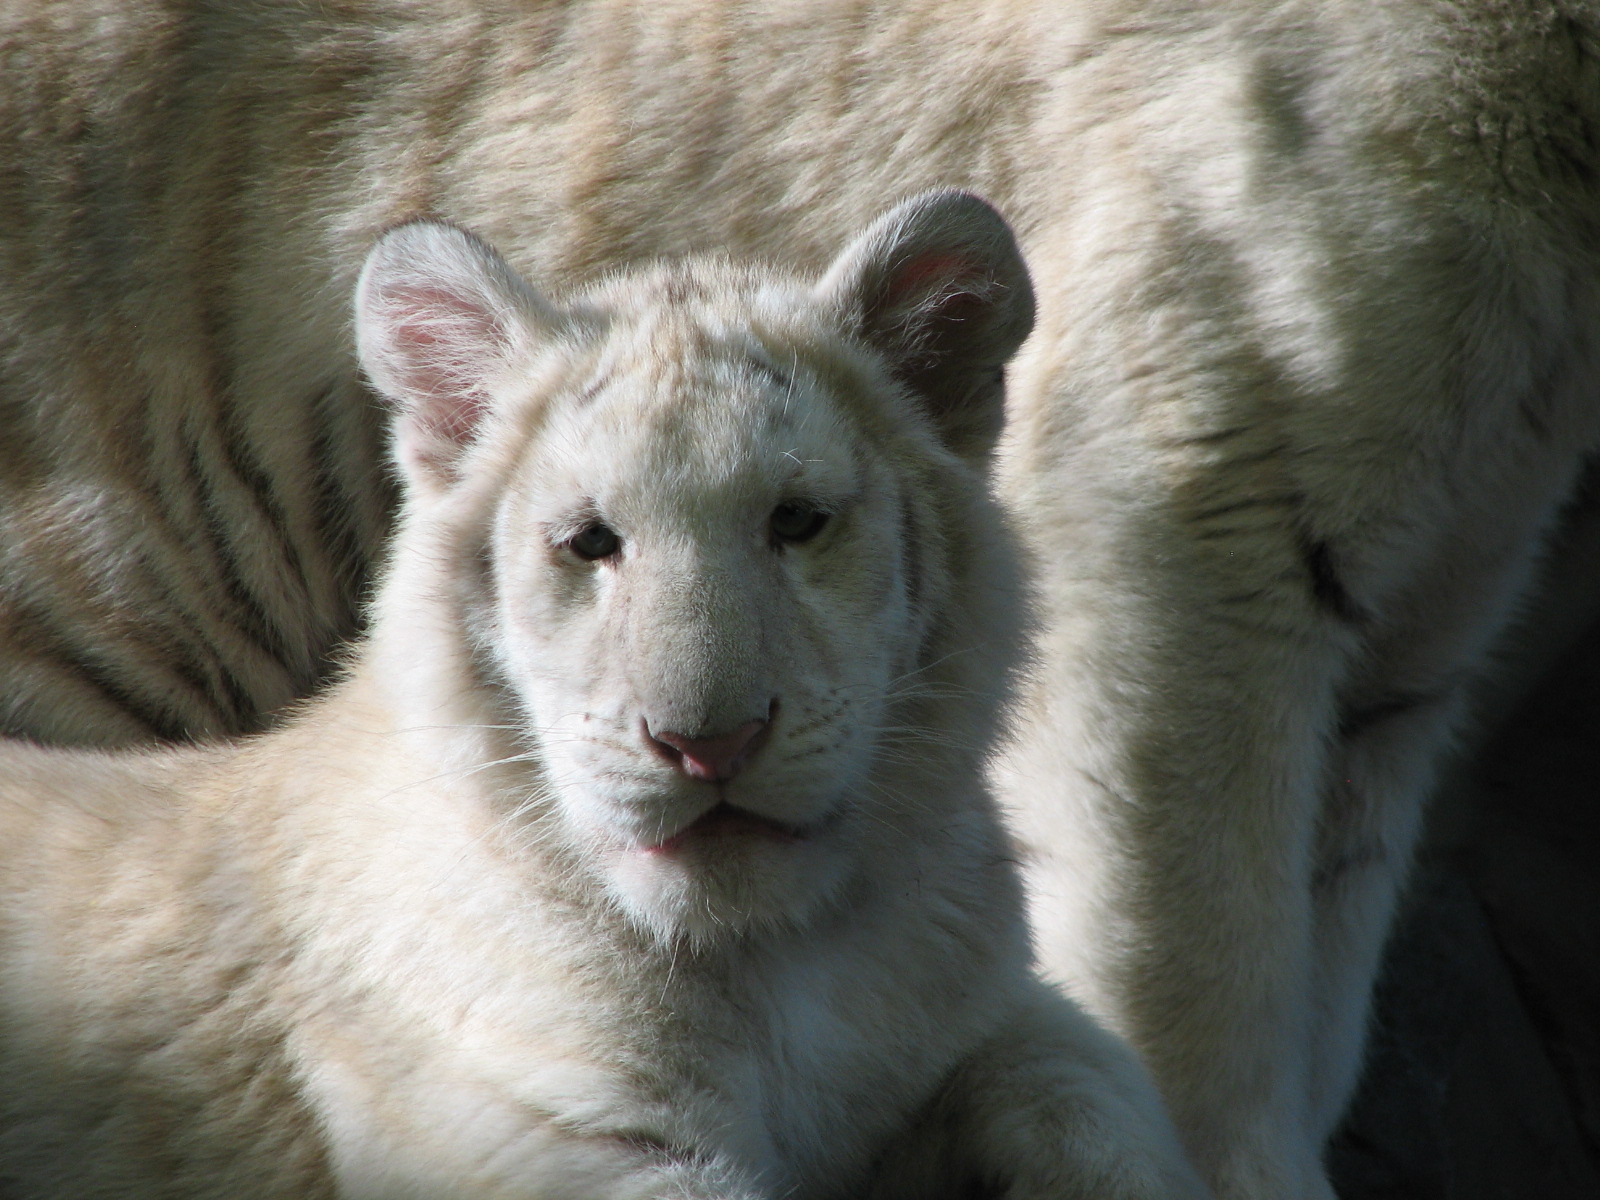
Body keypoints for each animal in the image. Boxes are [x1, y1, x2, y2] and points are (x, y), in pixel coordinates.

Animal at [1, 3, 1596, 1197]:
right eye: (588, 545)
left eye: (799, 523)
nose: (705, 742)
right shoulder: (1200, 509)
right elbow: (1200, 1010)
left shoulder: (1412, 623)